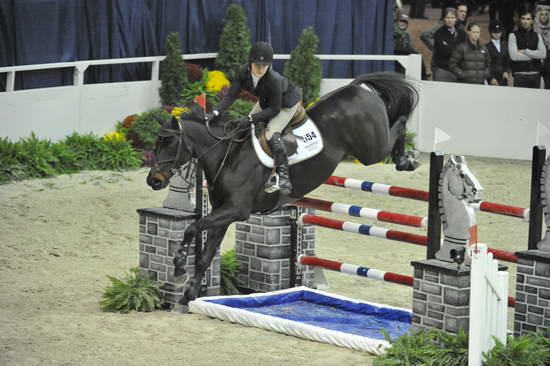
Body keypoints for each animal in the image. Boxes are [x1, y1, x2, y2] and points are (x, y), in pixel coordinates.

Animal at [149, 72, 420, 312]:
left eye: (170, 143)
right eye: (156, 143)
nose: (153, 180)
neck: (227, 155)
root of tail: (355, 88)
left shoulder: (236, 210)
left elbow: (193, 227)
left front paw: (179, 266)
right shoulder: (222, 213)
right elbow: (205, 254)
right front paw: (187, 297)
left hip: (371, 150)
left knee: (399, 124)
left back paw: (408, 159)